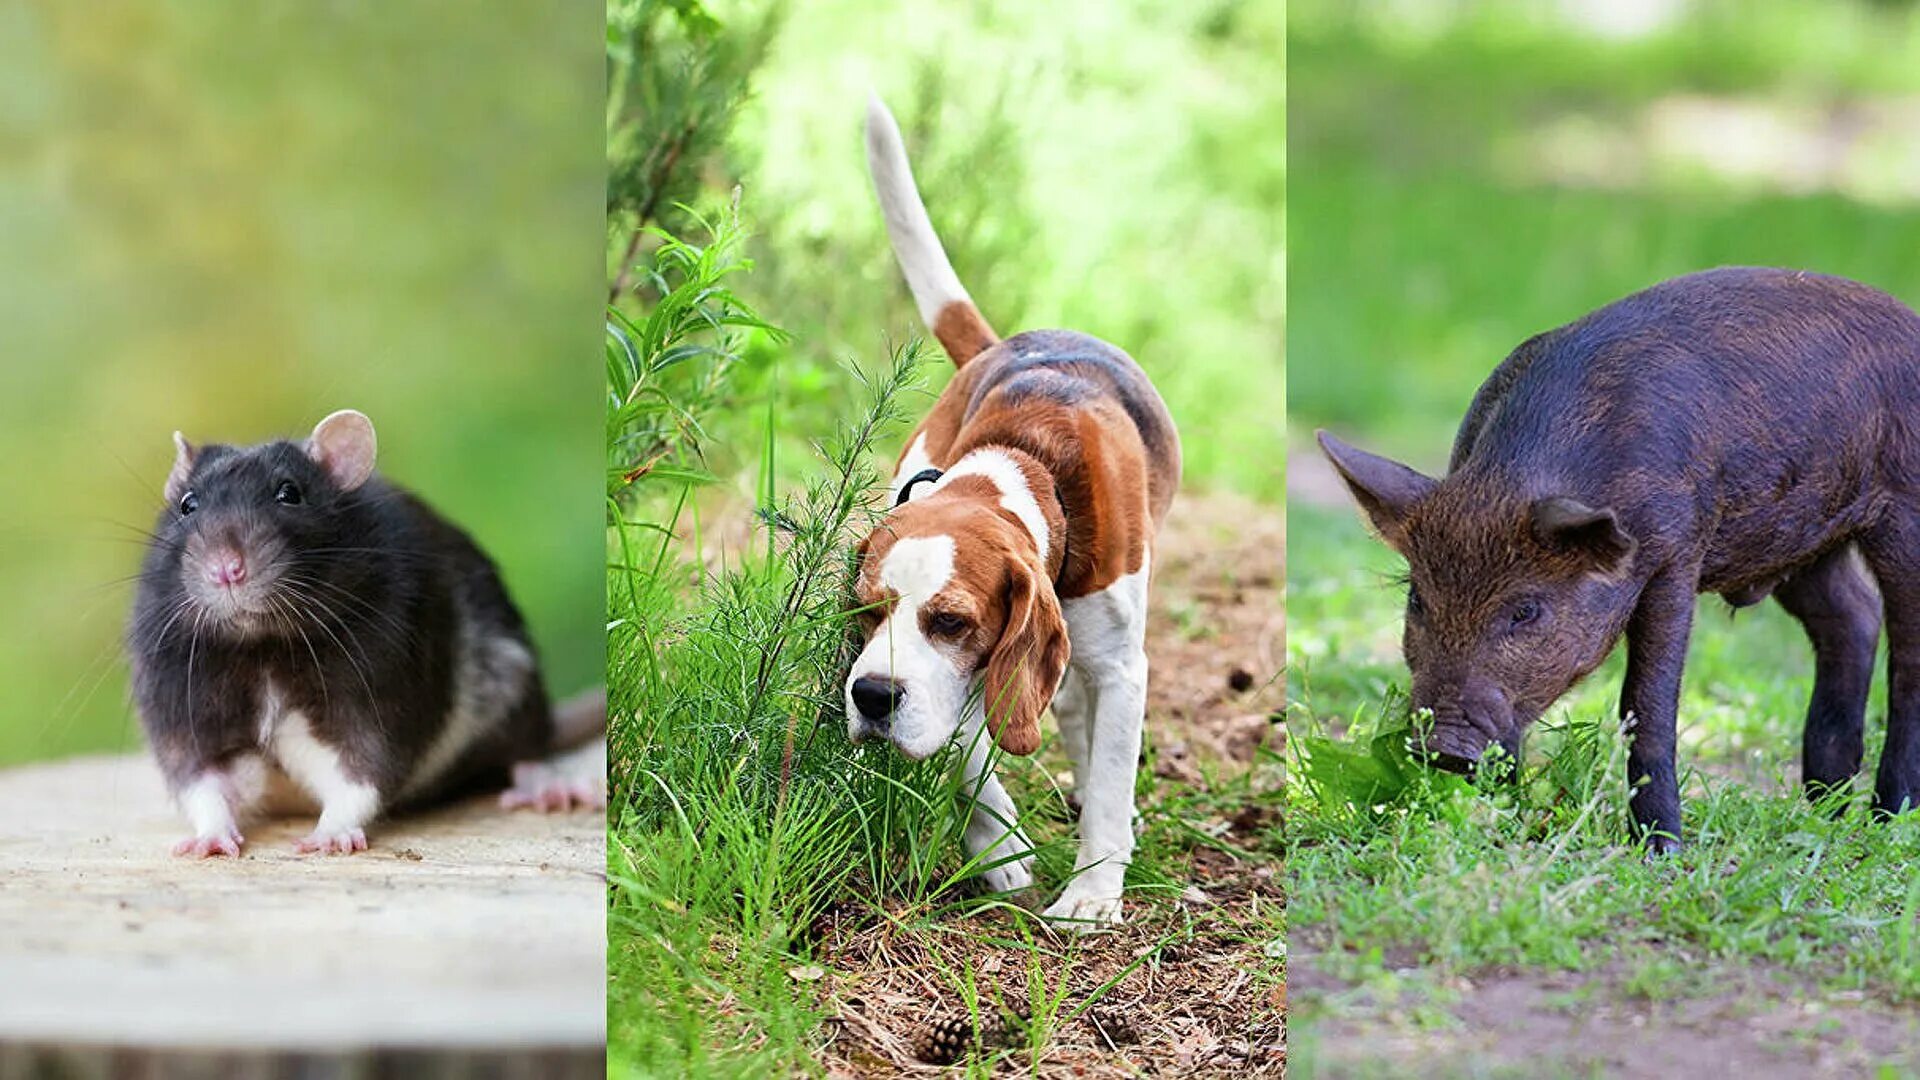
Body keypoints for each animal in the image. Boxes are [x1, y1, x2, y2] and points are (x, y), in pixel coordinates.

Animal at [844, 98, 1175, 926]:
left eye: (950, 620)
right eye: (863, 614)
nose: (869, 697)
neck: (1022, 466)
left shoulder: (1121, 664)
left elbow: (1111, 772)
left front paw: (1092, 892)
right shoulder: (968, 674)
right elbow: (967, 748)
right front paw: (998, 848)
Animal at [1313, 263, 1920, 849]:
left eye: (1526, 610)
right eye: (1417, 599)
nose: (1445, 744)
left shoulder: (1676, 551)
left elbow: (1645, 701)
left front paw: (1662, 849)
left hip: (1902, 511)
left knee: (1905, 656)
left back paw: (1889, 819)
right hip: (1800, 539)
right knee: (1853, 615)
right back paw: (1824, 809)